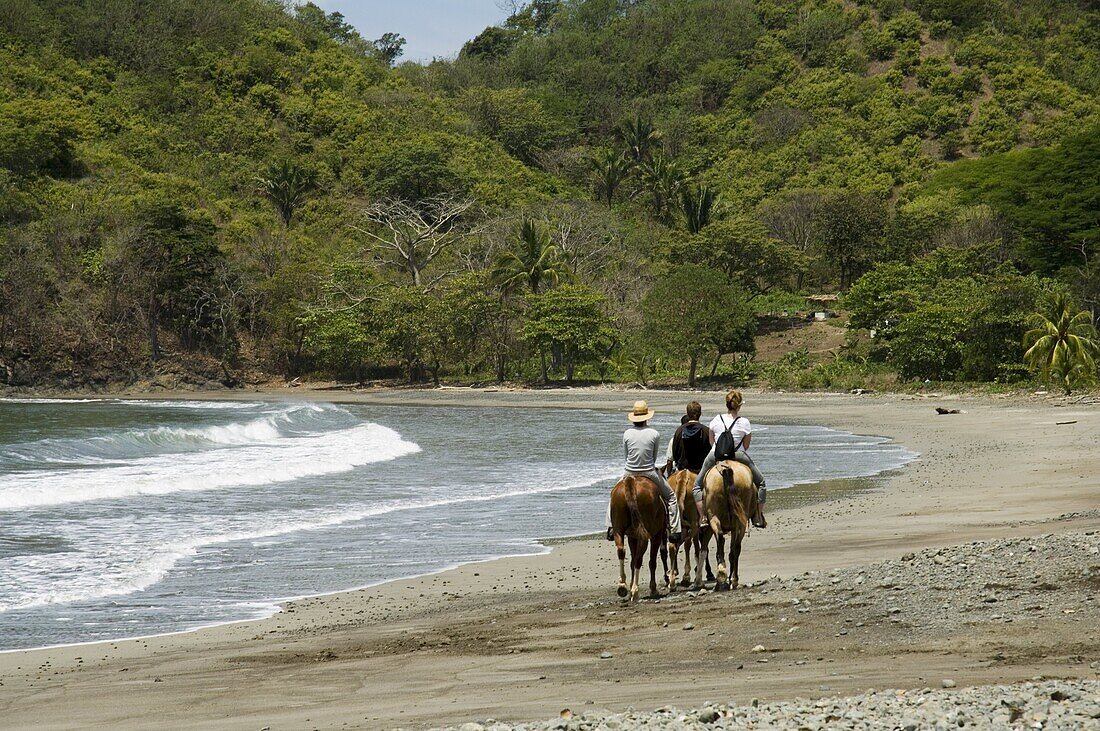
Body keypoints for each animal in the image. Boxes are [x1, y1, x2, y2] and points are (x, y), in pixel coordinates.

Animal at [695, 459, 756, 589]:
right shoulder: (733, 526)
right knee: (735, 547)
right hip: (739, 521)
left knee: (721, 541)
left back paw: (722, 576)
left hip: (714, 517)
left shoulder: (709, 528)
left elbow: (704, 549)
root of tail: (726, 468)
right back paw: (731, 578)